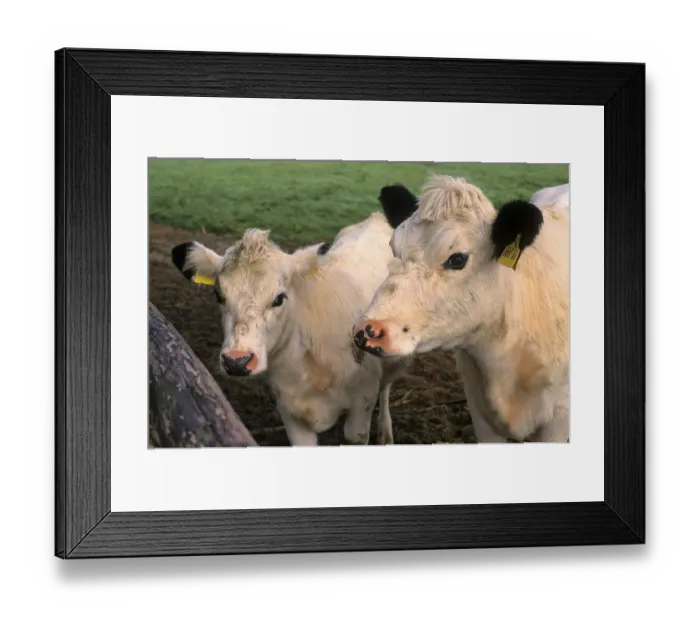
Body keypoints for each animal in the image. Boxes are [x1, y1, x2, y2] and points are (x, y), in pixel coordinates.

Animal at [171, 211, 409, 447]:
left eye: (278, 298)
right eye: (219, 296)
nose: (237, 361)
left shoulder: (362, 404)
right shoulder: (290, 413)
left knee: (385, 389)